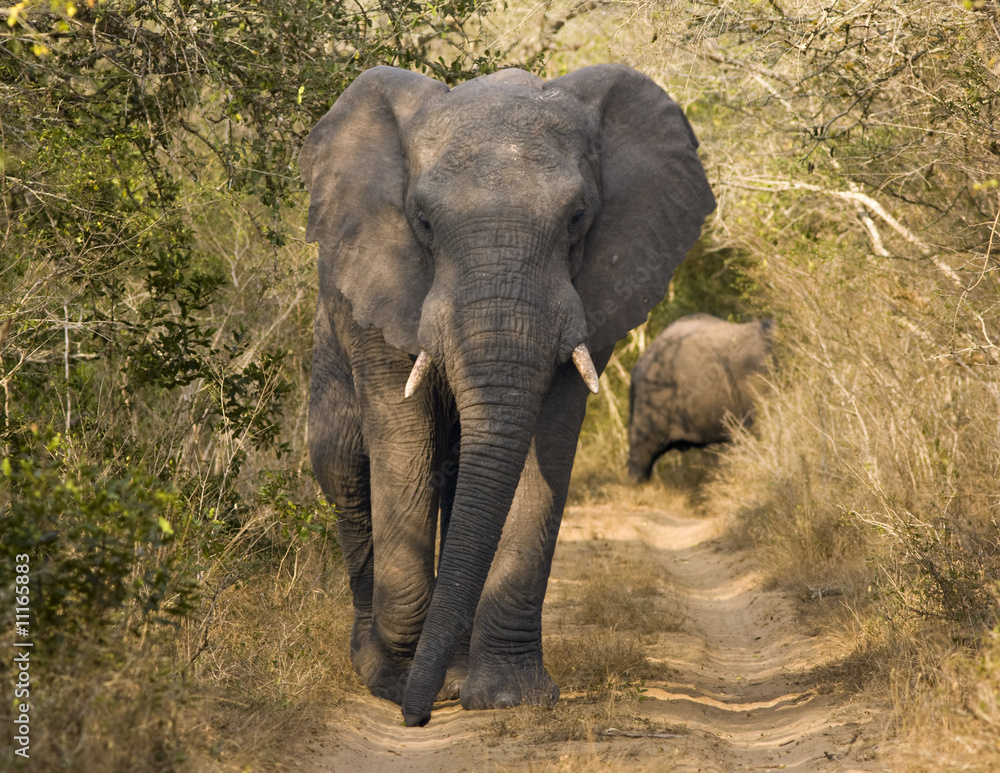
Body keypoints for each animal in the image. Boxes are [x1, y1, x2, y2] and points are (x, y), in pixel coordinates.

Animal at [299, 63, 715, 727]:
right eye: (422, 221)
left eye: (577, 217)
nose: (416, 717)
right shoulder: (383, 284)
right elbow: (403, 442)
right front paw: (401, 683)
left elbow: (547, 445)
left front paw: (507, 698)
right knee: (343, 466)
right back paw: (378, 665)